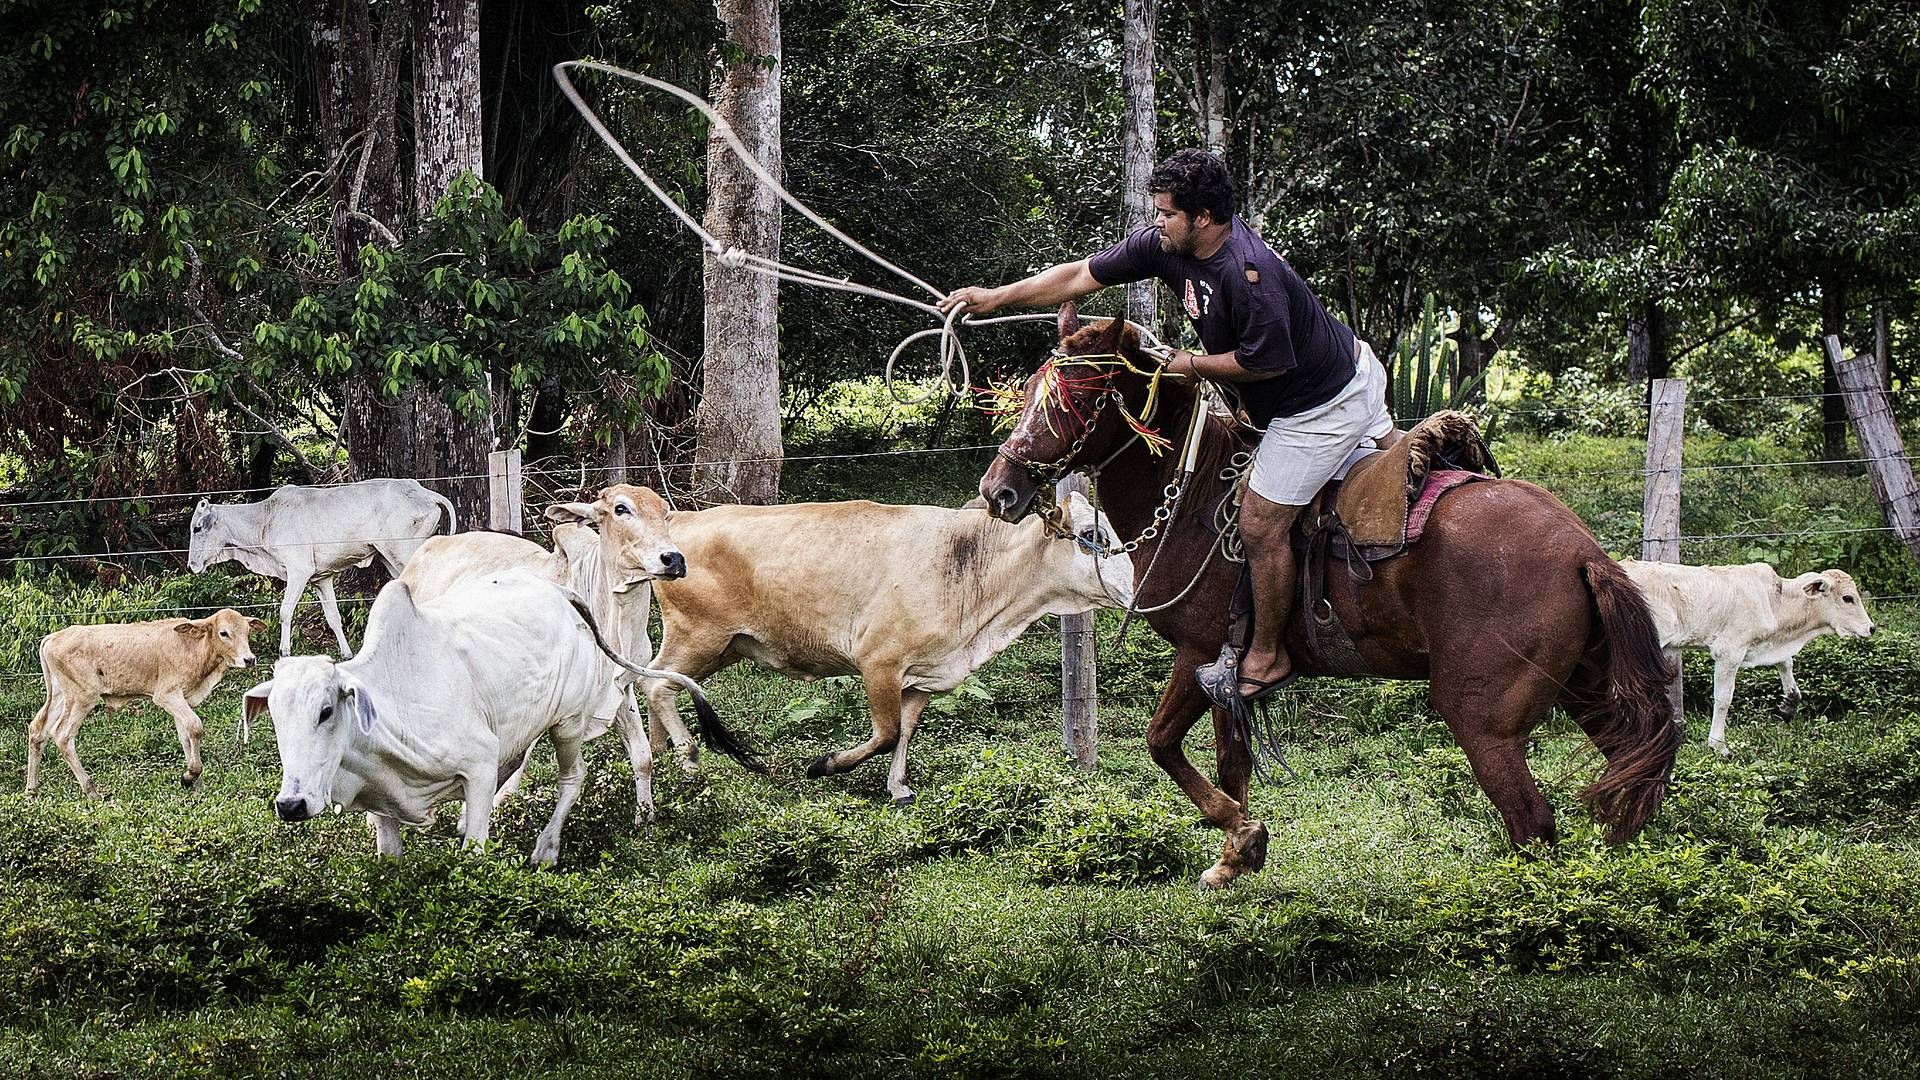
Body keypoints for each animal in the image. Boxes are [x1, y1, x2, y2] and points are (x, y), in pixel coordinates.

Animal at [26, 611, 264, 795]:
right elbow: (196, 727)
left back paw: (32, 789)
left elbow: (186, 736)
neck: (193, 647)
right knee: (62, 735)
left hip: (59, 695)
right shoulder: (167, 695)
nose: (249, 659)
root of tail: (52, 637)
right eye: (224, 633)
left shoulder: (182, 699)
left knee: (38, 729)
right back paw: (91, 790)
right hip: (82, 696)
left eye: (247, 632)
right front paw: (190, 776)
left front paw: (196, 784)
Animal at [188, 478, 456, 657]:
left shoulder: (299, 571)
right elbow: (333, 617)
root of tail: (424, 491)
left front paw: (284, 652)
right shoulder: (321, 579)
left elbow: (285, 612)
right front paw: (347, 653)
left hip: (404, 554)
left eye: (197, 528)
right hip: (391, 560)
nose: (192, 565)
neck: (266, 519)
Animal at [983, 307, 1674, 887]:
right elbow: (1230, 762)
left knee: (1531, 823)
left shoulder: (1198, 651)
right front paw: (1236, 853)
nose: (999, 490)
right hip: (1589, 689)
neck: (1196, 497)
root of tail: (1583, 553)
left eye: (1078, 396)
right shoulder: (1226, 672)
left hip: (1484, 721)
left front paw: (1244, 834)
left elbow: (1161, 742)